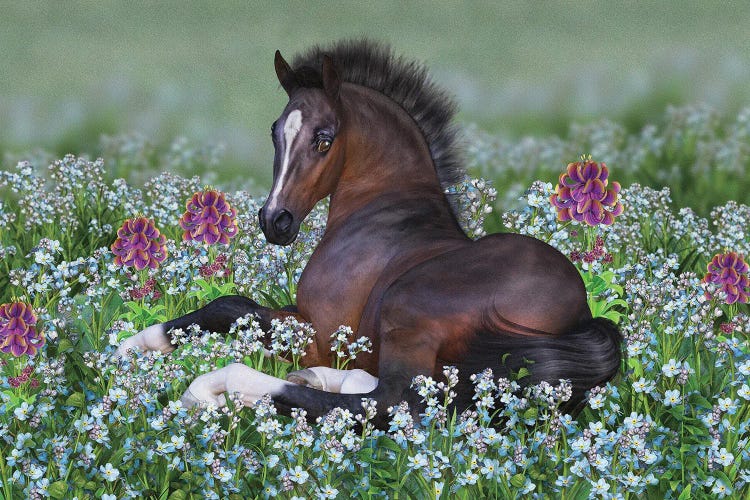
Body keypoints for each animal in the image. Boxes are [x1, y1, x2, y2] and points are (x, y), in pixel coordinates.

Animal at [116, 39, 624, 424]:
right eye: (275, 131)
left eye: (324, 138)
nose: (274, 221)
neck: (381, 212)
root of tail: (581, 316)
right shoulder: (304, 321)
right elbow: (231, 306)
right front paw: (130, 348)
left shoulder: (321, 333)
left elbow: (237, 310)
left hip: (408, 309)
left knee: (390, 403)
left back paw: (217, 385)